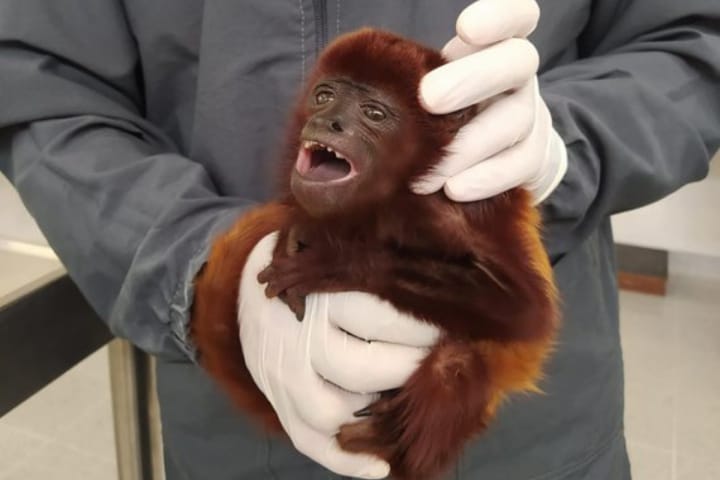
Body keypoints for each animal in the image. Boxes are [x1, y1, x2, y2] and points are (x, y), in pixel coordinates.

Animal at [191, 28, 559, 480]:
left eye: (374, 114)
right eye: (324, 96)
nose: (328, 122)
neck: (392, 193)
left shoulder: (453, 208)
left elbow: (525, 311)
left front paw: (336, 263)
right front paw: (293, 235)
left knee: (454, 365)